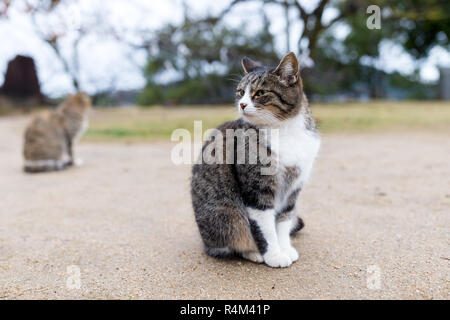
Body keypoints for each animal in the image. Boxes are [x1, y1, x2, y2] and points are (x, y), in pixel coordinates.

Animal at [190, 52, 320, 268]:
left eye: (260, 93)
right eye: (240, 92)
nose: (242, 104)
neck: (283, 130)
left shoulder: (293, 189)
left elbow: (283, 221)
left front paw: (285, 248)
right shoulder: (257, 189)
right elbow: (266, 227)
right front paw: (274, 255)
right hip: (227, 217)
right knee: (232, 241)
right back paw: (254, 253)